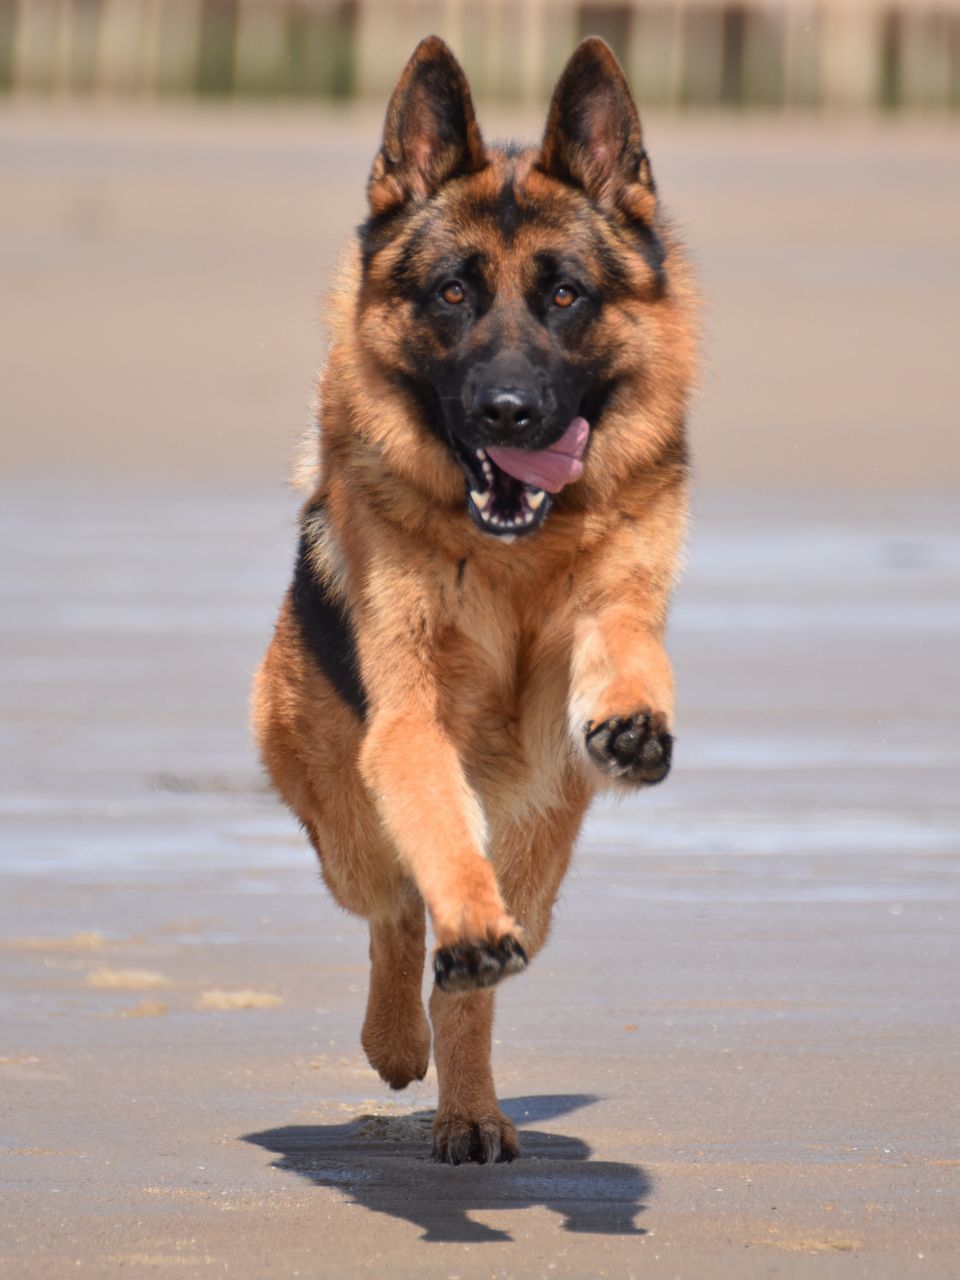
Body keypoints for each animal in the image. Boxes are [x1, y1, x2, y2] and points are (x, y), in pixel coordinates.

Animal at [252, 35, 696, 1167]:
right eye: (453, 293)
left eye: (567, 295)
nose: (509, 411)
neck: (512, 565)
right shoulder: (409, 726)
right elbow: (439, 857)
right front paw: (455, 934)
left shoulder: (609, 615)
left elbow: (624, 643)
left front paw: (634, 717)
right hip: (346, 820)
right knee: (396, 910)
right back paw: (404, 1032)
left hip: (543, 835)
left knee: (482, 974)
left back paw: (469, 1106)